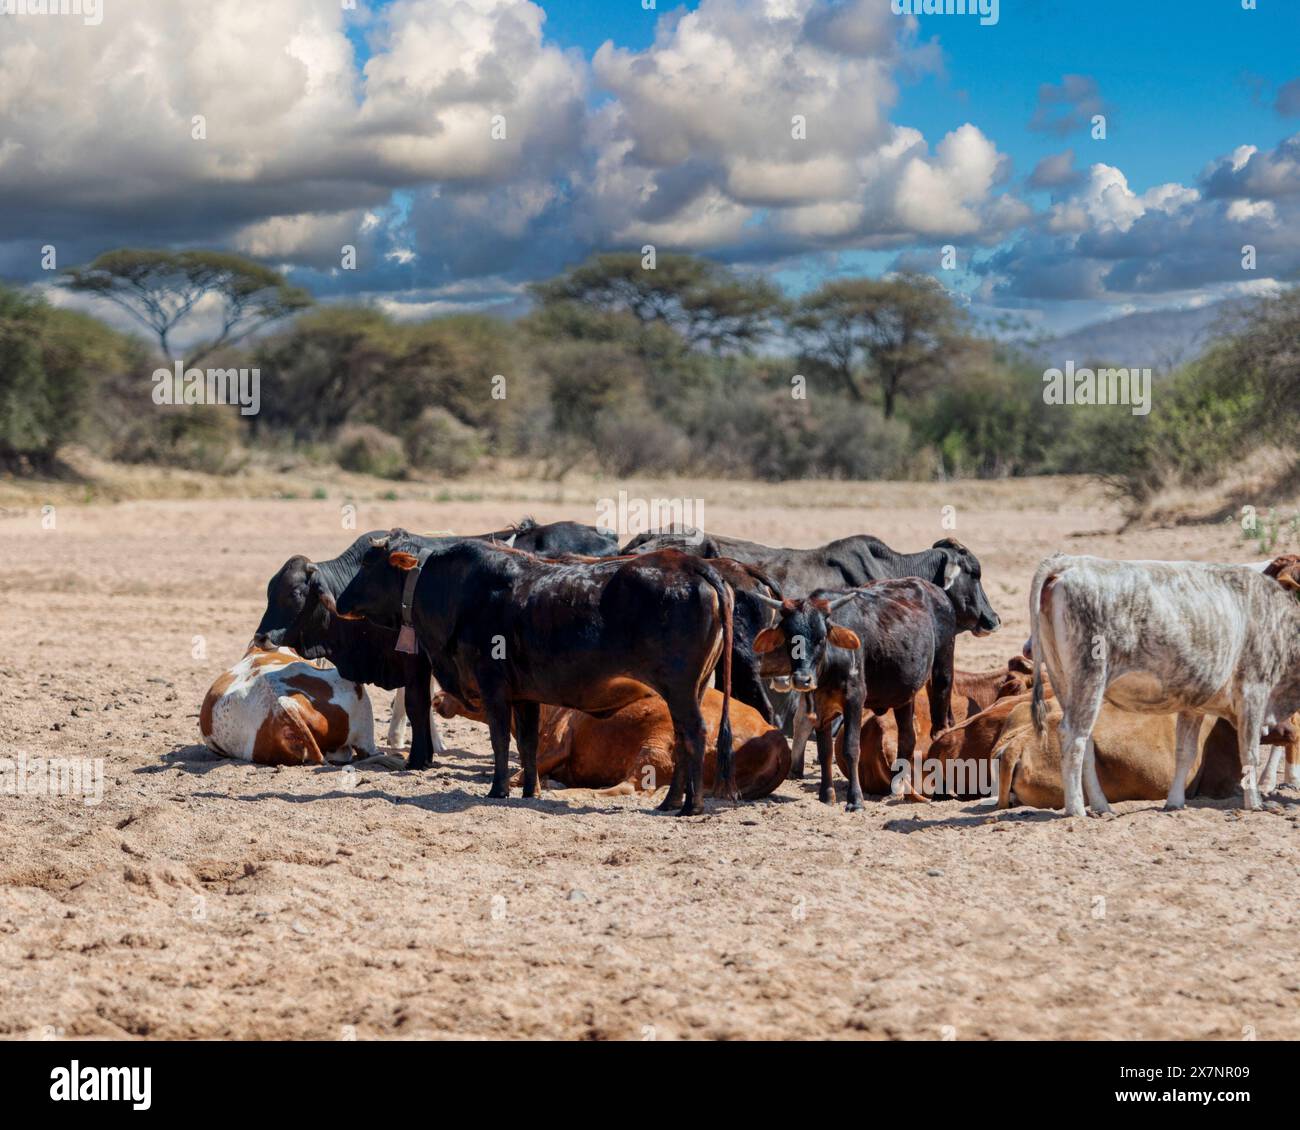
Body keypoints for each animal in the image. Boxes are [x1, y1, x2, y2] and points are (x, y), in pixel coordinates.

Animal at [335, 533, 738, 816]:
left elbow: (500, 740)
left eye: (369, 564)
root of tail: (690, 565)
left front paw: (498, 789)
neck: (455, 592)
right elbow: (527, 744)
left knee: (694, 734)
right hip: (692, 690)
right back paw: (671, 802)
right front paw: (531, 790)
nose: (340, 601)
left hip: (680, 690)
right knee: (684, 739)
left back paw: (690, 806)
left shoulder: (493, 687)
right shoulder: (525, 696)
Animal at [754, 582, 956, 811]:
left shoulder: (855, 699)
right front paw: (826, 795)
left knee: (939, 729)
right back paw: (897, 787)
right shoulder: (822, 706)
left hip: (942, 674)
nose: (802, 679)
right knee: (907, 738)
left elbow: (851, 748)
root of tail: (936, 590)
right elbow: (825, 751)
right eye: (789, 638)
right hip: (904, 695)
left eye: (821, 638)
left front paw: (856, 799)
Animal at [1024, 553, 1300, 811]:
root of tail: (1071, 562)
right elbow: (1250, 753)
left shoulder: (1194, 704)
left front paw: (1175, 802)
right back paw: (1076, 808)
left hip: (1064, 682)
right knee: (1073, 737)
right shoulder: (1254, 693)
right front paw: (1255, 803)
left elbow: (1185, 753)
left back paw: (1101, 806)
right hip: (1089, 677)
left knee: (1086, 741)